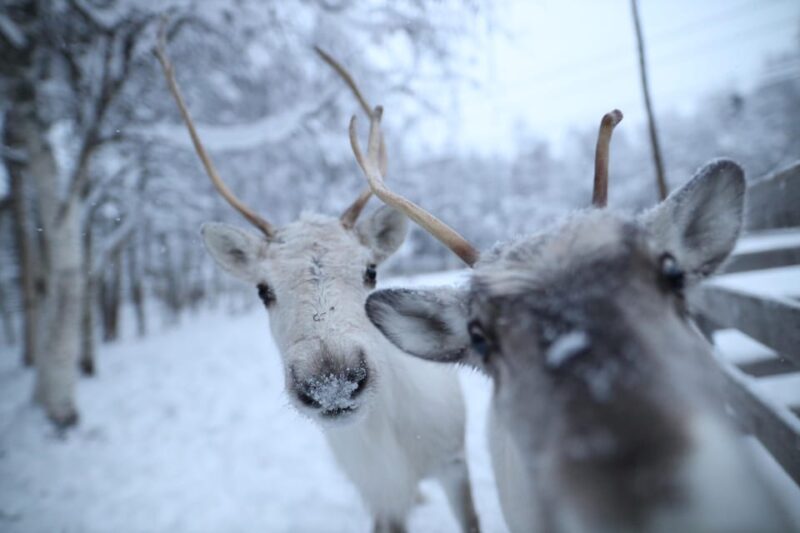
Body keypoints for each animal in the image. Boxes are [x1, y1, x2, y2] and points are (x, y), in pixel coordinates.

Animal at [155, 34, 481, 533]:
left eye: (370, 270)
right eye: (263, 290)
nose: (333, 382)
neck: (393, 446)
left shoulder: (455, 462)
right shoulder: (380, 498)